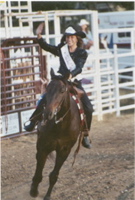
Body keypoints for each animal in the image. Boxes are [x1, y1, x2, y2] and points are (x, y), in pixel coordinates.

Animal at [29, 69, 83, 200]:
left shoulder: (64, 150)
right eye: (47, 89)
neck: (60, 126)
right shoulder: (43, 147)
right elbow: (38, 172)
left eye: (62, 90)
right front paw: (33, 191)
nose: (47, 113)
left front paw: (47, 196)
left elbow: (54, 175)